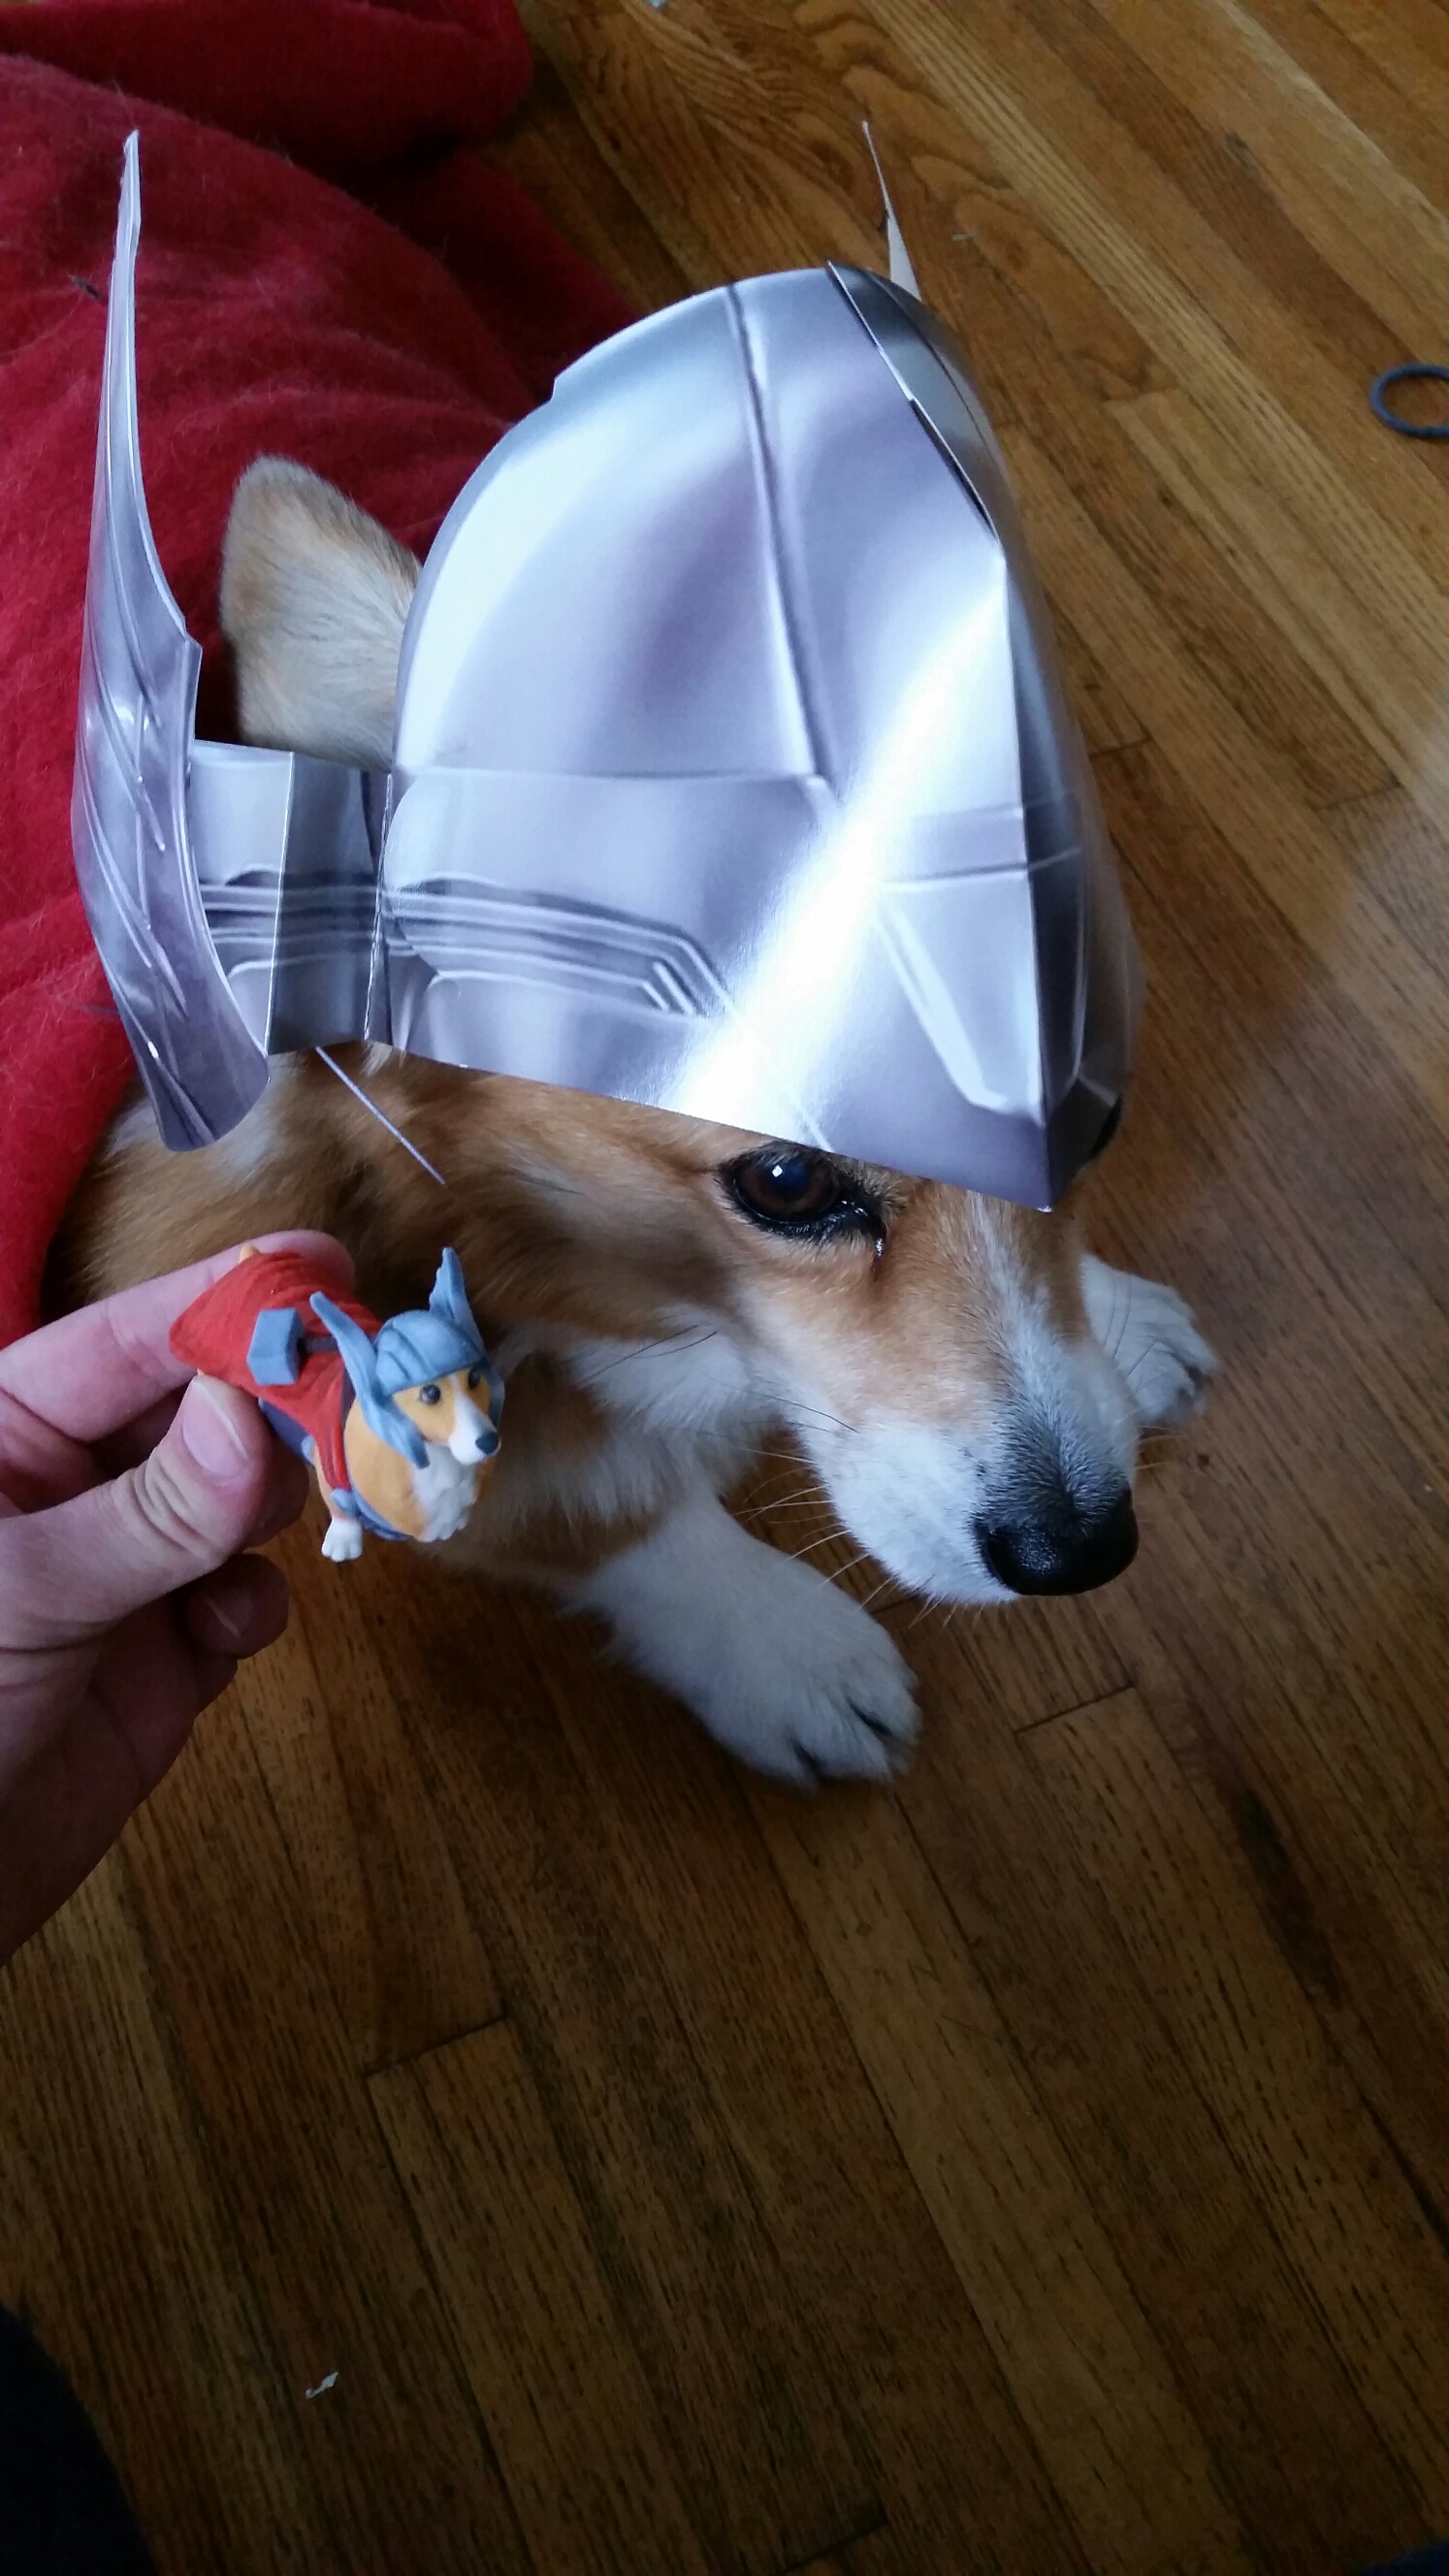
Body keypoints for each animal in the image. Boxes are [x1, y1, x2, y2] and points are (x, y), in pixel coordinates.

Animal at [56, 456, 1215, 1786]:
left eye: (1097, 1119)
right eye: (785, 1184)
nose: (1082, 1553)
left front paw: (1120, 1317)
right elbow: (584, 1499)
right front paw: (783, 1644)